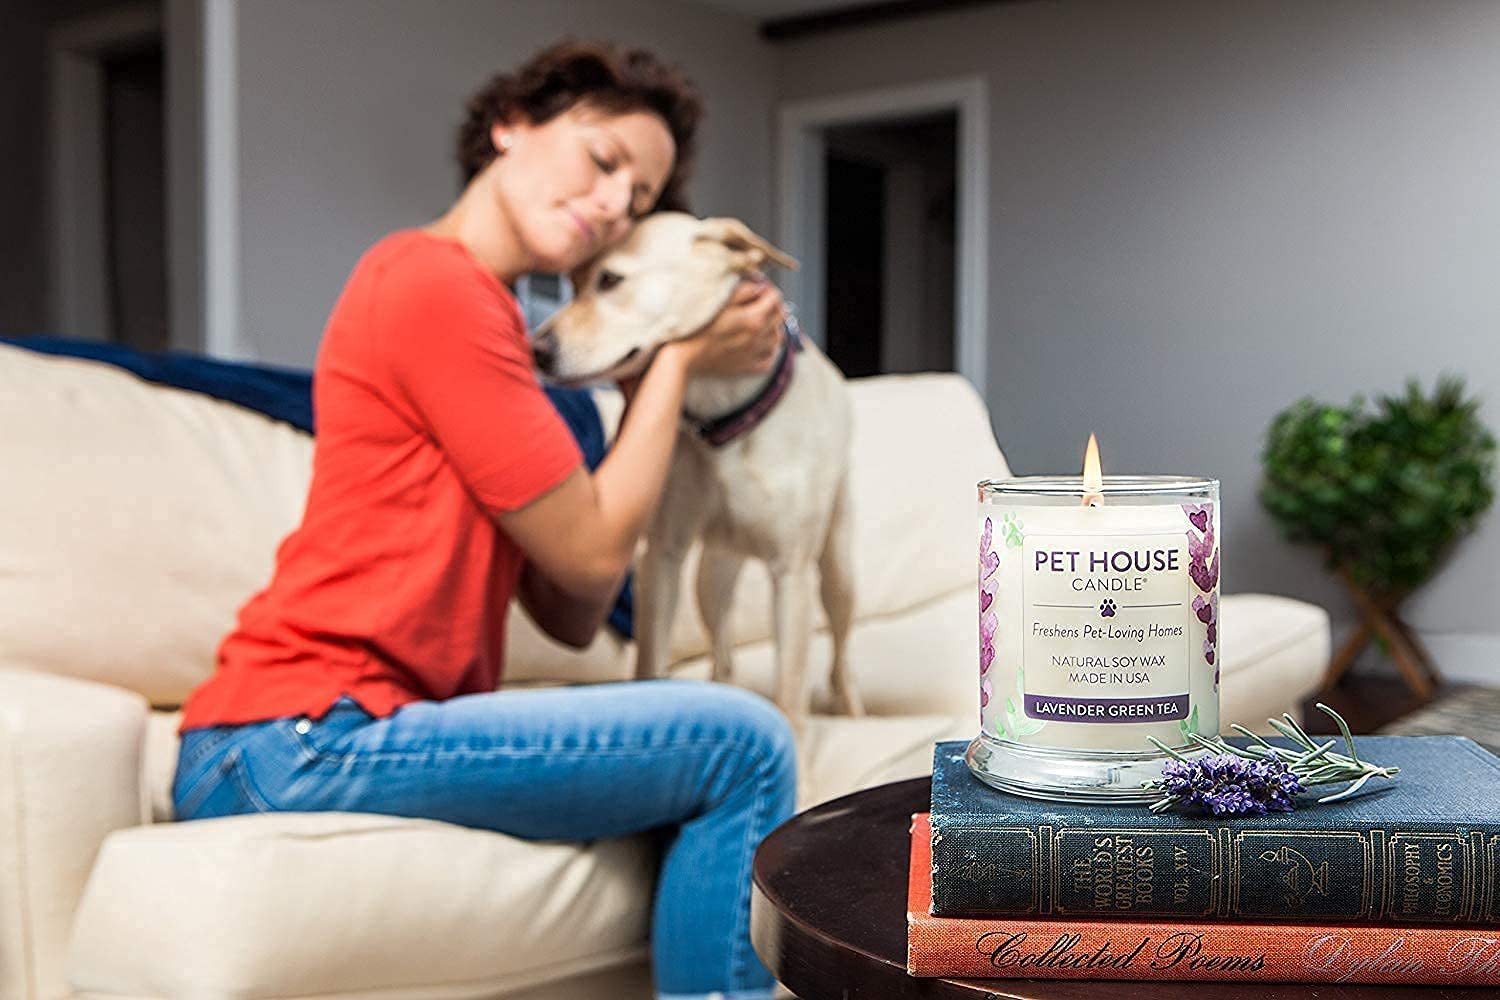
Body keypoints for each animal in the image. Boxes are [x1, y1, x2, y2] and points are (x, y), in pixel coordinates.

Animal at [534, 211, 864, 731]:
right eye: (576, 282)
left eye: (609, 280)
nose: (537, 350)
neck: (721, 416)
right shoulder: (662, 560)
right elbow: (651, 663)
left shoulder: (789, 574)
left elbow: (791, 699)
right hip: (710, 579)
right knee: (724, 655)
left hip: (837, 573)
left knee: (840, 657)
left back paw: (850, 707)